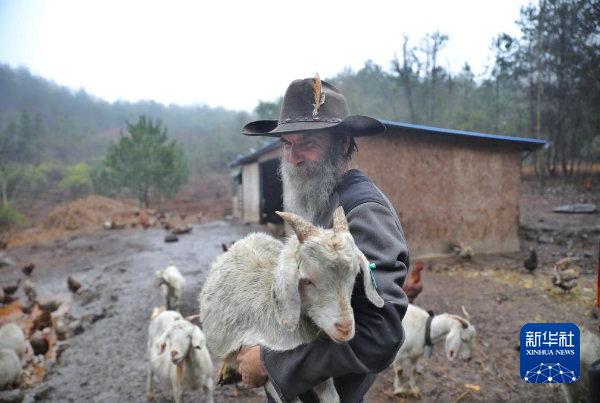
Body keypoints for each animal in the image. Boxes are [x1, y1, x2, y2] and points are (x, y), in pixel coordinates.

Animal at [199, 208, 382, 403]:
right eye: (307, 280)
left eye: (355, 274)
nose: (345, 329)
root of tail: (246, 239)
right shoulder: (268, 376)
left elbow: (331, 396)